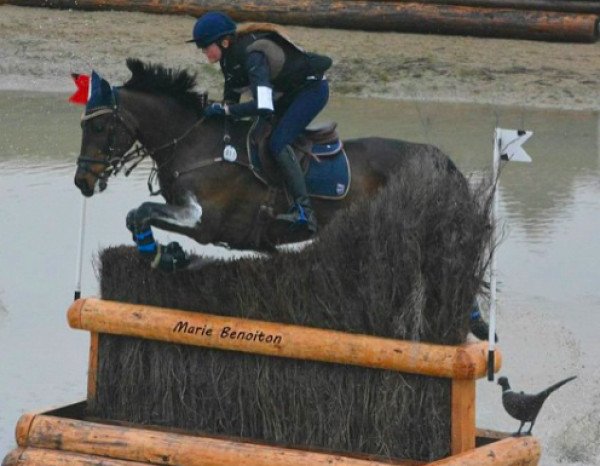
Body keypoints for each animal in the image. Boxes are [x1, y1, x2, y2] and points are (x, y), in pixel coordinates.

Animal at [72, 58, 462, 270]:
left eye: (99, 127)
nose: (82, 181)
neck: (192, 143)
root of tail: (436, 157)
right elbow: (135, 215)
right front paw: (166, 256)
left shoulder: (201, 220)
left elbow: (141, 211)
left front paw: (163, 257)